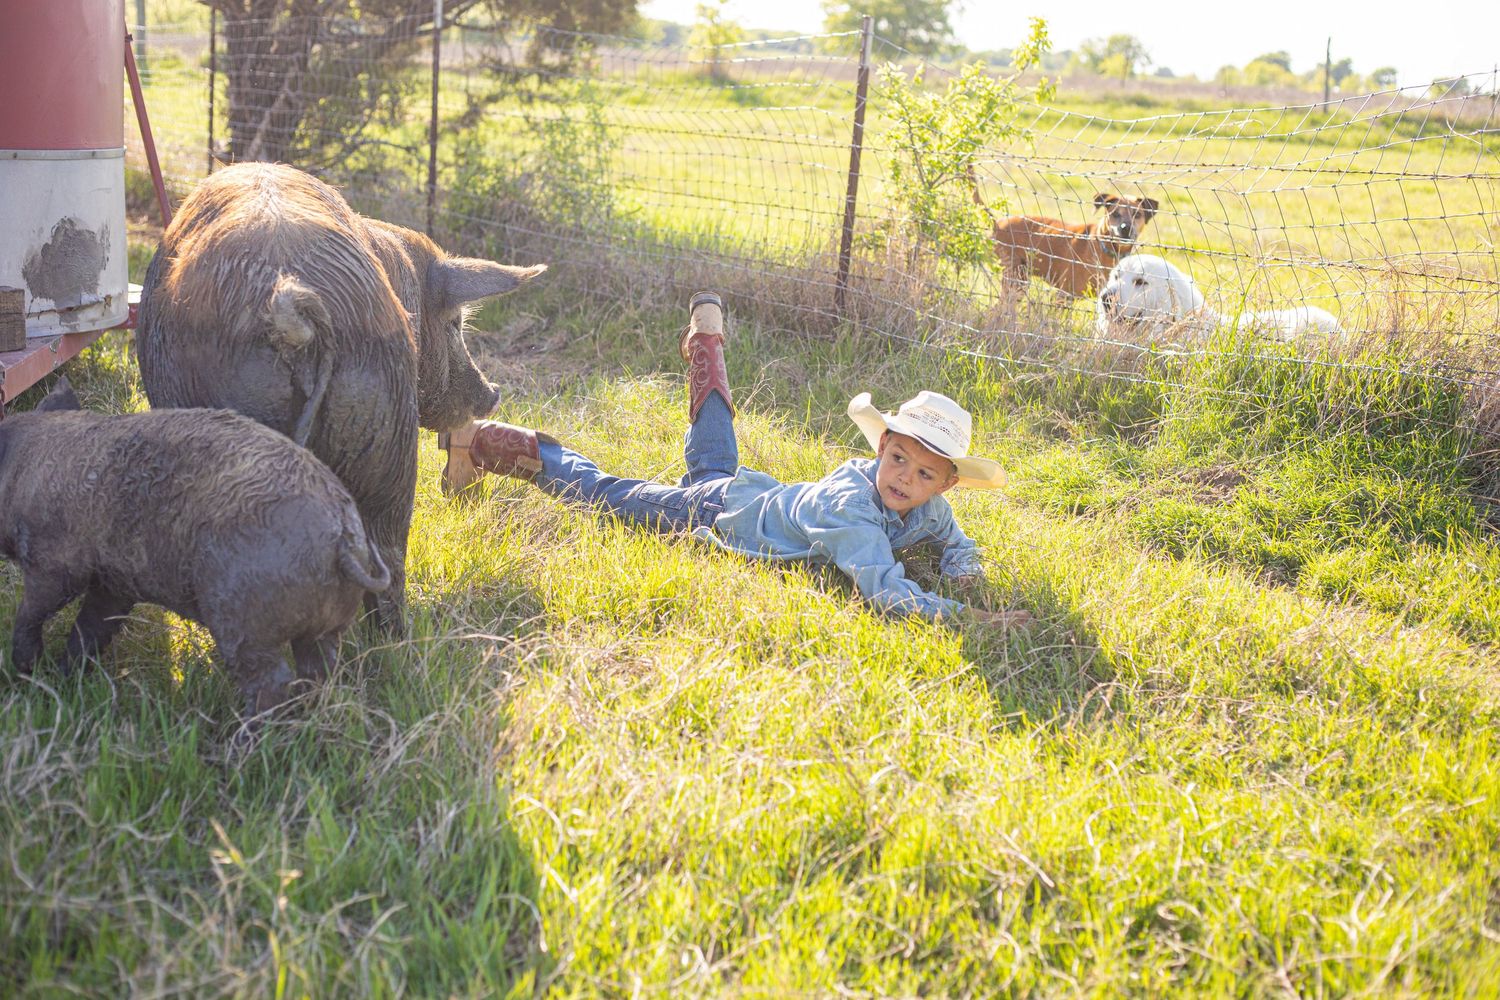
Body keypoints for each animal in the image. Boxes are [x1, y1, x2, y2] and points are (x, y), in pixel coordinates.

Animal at [0, 379, 390, 715]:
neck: (26, 469)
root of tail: (341, 537)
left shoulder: (55, 561)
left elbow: (34, 611)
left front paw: (27, 673)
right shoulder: (114, 584)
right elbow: (92, 628)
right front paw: (63, 677)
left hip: (242, 614)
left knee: (271, 681)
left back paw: (242, 742)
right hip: (327, 624)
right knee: (320, 669)